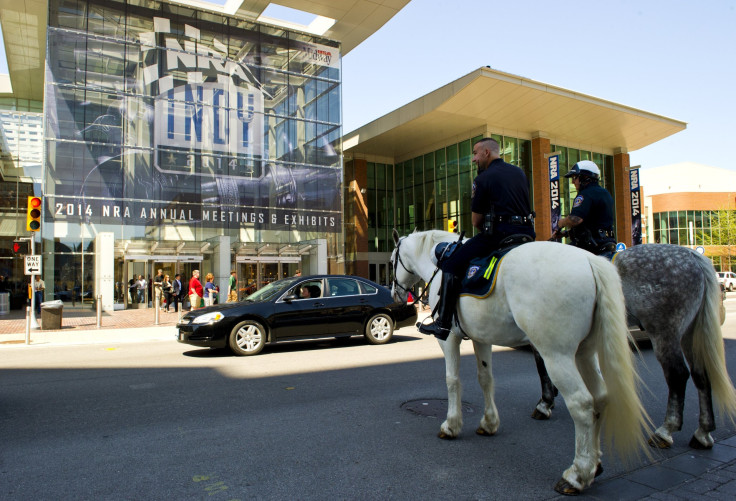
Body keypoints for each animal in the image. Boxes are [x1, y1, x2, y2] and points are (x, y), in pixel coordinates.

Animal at [392, 229, 648, 492]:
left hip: (557, 354)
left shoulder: (449, 338)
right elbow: (486, 379)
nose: (395, 295)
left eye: (392, 261)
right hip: (585, 352)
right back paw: (594, 465)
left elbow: (452, 380)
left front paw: (451, 425)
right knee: (600, 398)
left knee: (582, 404)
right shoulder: (482, 337)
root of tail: (590, 260)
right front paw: (489, 423)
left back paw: (577, 474)